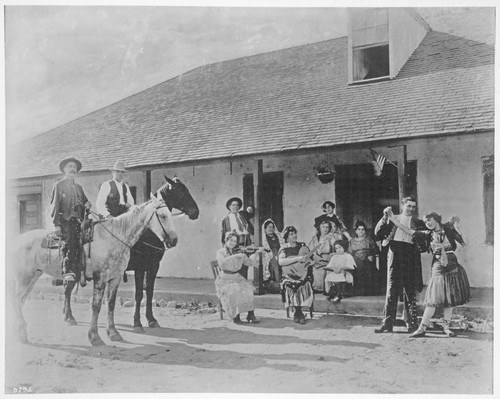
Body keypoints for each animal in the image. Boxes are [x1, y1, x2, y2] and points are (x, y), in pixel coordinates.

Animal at [9, 195, 178, 346]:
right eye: (162, 216)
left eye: (170, 214)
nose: (174, 240)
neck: (114, 238)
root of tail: (16, 240)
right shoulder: (101, 278)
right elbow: (96, 306)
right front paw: (95, 337)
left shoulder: (115, 278)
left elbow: (111, 304)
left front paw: (113, 333)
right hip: (25, 278)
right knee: (16, 300)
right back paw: (22, 332)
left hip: (33, 277)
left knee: (23, 300)